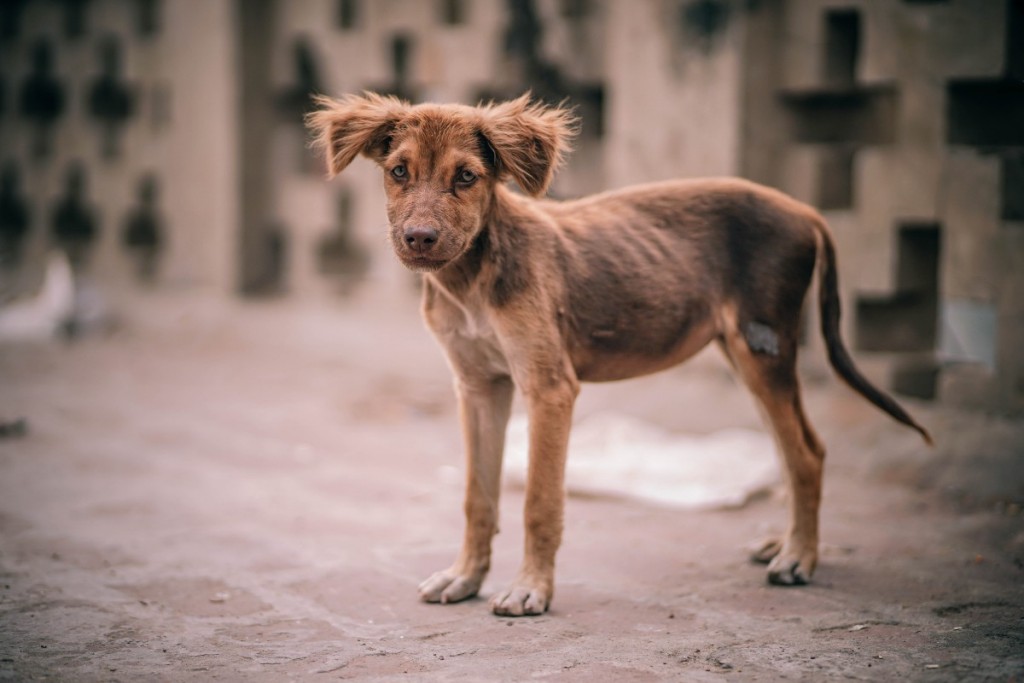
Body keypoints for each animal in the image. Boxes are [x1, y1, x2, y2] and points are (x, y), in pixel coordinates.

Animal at [303, 92, 929, 618]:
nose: (419, 239)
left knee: (807, 452)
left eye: (466, 177)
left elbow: (538, 501)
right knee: (789, 445)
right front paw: (465, 577)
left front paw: (530, 588)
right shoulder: (478, 387)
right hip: (744, 352)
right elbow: (477, 498)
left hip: (764, 346)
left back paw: (799, 557)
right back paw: (786, 542)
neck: (472, 279)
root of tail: (804, 209)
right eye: (398, 172)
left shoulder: (549, 387)